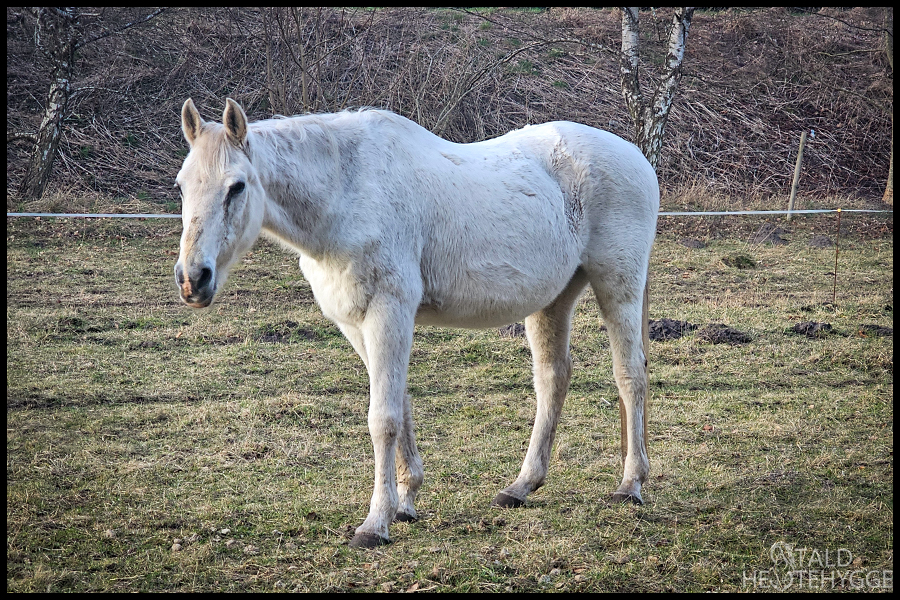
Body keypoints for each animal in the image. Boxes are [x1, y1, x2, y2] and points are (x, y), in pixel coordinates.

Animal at [174, 98, 658, 548]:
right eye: (181, 186)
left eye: (237, 186)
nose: (193, 279)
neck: (349, 193)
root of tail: (637, 156)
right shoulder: (357, 325)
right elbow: (401, 406)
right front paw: (405, 502)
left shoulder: (389, 312)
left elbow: (383, 418)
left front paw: (375, 524)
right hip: (553, 300)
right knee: (553, 379)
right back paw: (521, 486)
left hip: (618, 283)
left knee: (629, 375)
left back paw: (630, 484)